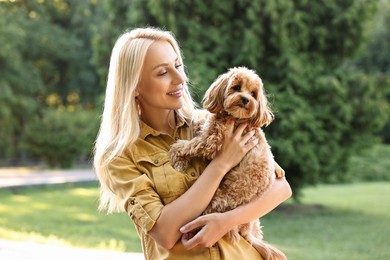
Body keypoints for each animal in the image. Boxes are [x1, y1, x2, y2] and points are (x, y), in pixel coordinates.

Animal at [171, 67, 286, 260]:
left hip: (224, 195)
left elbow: (188, 146)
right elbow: (204, 119)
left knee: (210, 211)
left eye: (253, 93)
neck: (237, 119)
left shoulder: (211, 141)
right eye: (237, 87)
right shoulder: (212, 129)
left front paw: (175, 152)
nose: (246, 99)